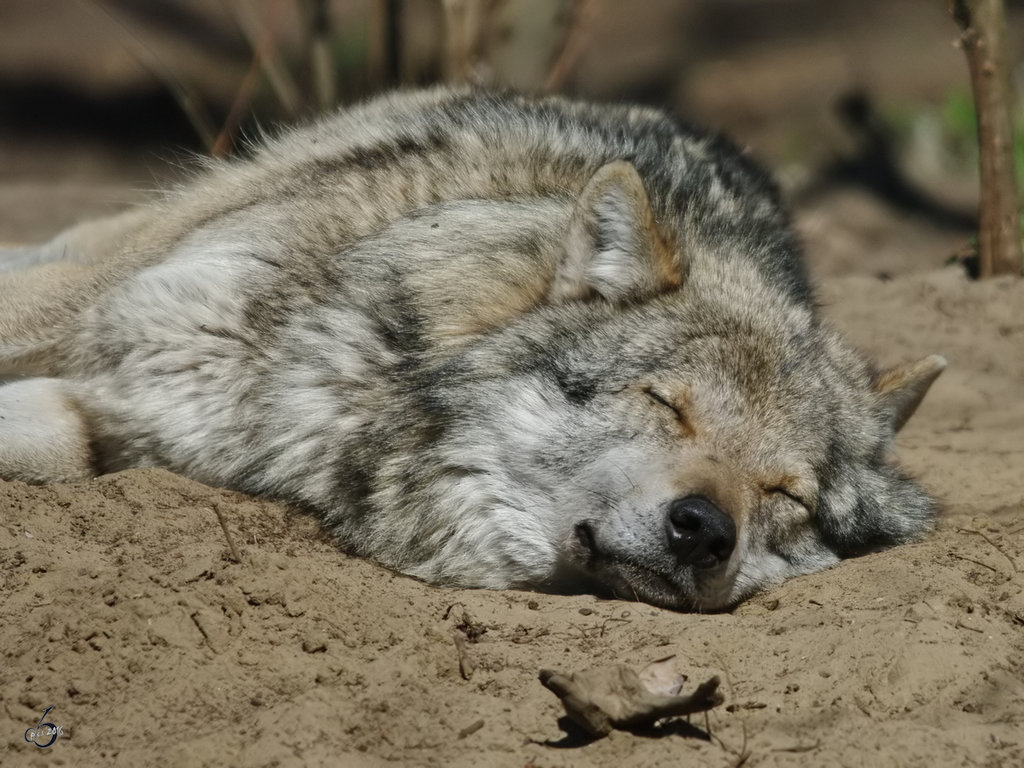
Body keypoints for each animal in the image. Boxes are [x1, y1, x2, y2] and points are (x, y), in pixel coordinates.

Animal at [0, 87, 942, 610]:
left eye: (789, 496)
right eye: (664, 403)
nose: (704, 530)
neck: (359, 395)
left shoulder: (150, 430)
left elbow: (61, 447)